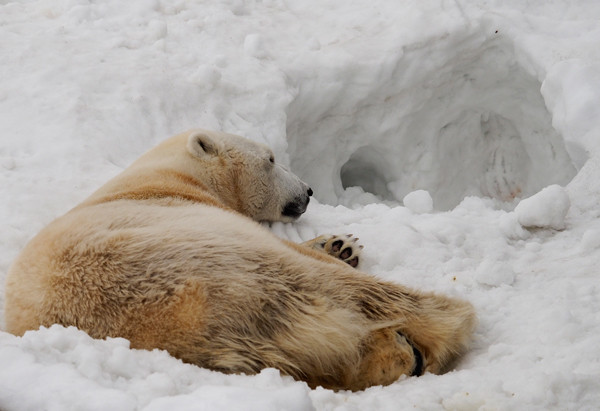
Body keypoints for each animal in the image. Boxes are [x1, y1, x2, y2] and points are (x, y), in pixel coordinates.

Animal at [3, 130, 474, 392]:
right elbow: (292, 249)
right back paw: (448, 323)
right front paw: (340, 247)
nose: (308, 190)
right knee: (345, 291)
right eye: (271, 158)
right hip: (223, 264)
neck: (162, 179)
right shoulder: (201, 216)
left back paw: (397, 353)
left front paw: (341, 243)